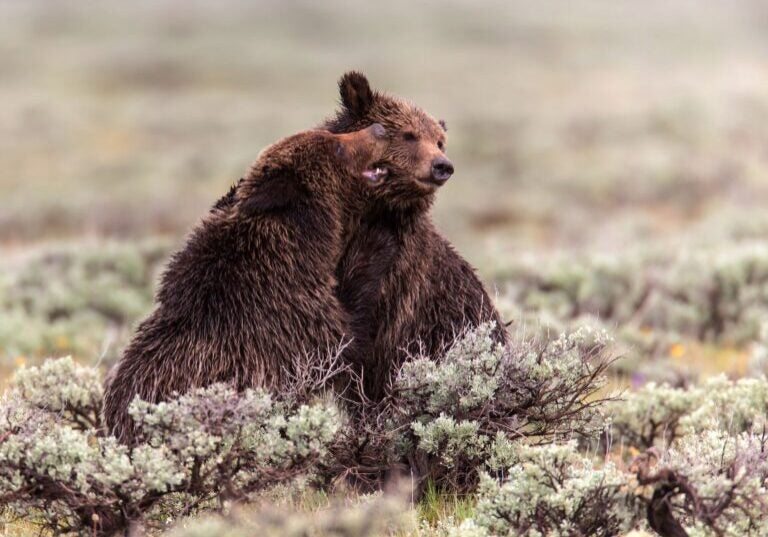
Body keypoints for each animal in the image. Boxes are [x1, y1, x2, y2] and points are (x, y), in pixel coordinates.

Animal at [103, 123, 390, 442]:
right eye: (336, 146)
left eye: (332, 135)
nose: (378, 129)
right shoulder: (291, 319)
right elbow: (345, 339)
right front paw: (377, 244)